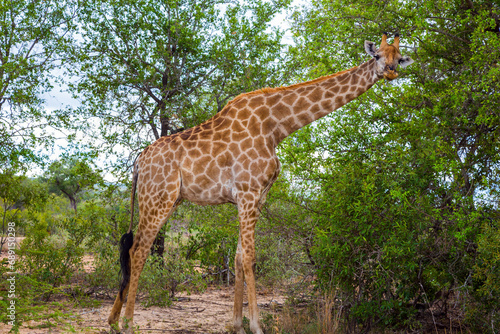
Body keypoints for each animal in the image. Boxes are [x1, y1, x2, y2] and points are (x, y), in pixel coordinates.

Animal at [106, 32, 414, 334]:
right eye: (377, 55)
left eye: (399, 57)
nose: (390, 71)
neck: (276, 127)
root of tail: (139, 161)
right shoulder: (248, 192)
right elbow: (250, 257)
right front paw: (255, 325)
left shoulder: (256, 196)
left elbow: (238, 257)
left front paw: (237, 325)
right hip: (158, 197)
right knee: (139, 250)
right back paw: (128, 323)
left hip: (163, 199)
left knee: (132, 248)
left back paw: (113, 320)